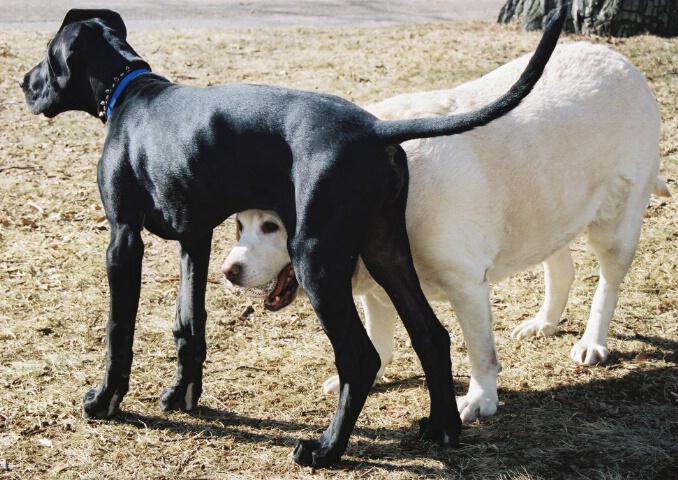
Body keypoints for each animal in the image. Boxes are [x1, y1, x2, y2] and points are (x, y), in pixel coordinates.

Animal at [18, 6, 564, 464]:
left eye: (47, 53)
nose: (23, 83)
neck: (129, 91)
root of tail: (374, 131)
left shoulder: (123, 238)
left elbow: (119, 329)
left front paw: (104, 400)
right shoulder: (196, 239)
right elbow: (188, 323)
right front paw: (182, 395)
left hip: (316, 262)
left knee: (360, 357)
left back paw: (326, 450)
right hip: (385, 249)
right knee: (431, 334)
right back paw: (444, 429)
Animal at [222, 42, 668, 424]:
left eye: (272, 227)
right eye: (240, 225)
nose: (229, 270)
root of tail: (620, 61)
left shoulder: (466, 284)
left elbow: (481, 353)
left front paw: (480, 400)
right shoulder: (377, 289)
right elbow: (379, 342)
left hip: (615, 226)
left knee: (607, 283)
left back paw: (593, 342)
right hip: (547, 209)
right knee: (562, 268)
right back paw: (543, 323)